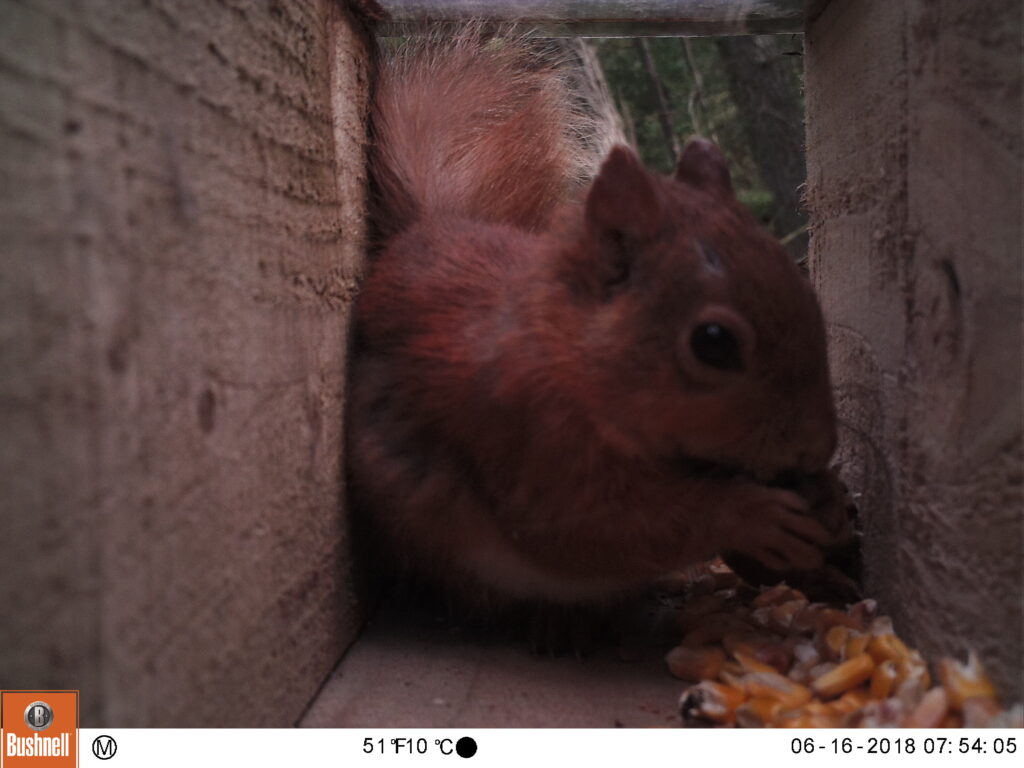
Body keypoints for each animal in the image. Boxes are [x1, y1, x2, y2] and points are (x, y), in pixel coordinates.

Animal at [346, 28, 839, 618]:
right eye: (713, 344)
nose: (817, 448)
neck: (571, 353)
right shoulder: (530, 439)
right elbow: (598, 527)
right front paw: (753, 516)